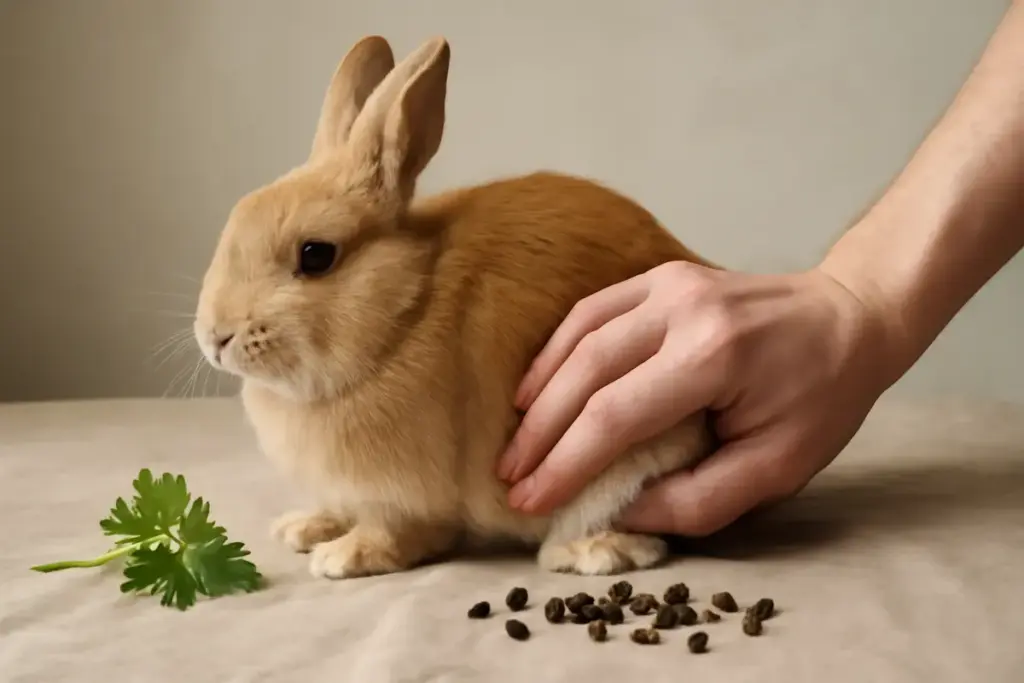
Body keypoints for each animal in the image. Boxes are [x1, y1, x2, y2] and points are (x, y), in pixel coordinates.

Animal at [193, 34, 718, 580]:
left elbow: (397, 532)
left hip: (631, 457)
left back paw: (595, 552)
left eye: (316, 255)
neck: (403, 317)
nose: (215, 337)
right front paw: (305, 527)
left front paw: (344, 557)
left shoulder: (406, 497)